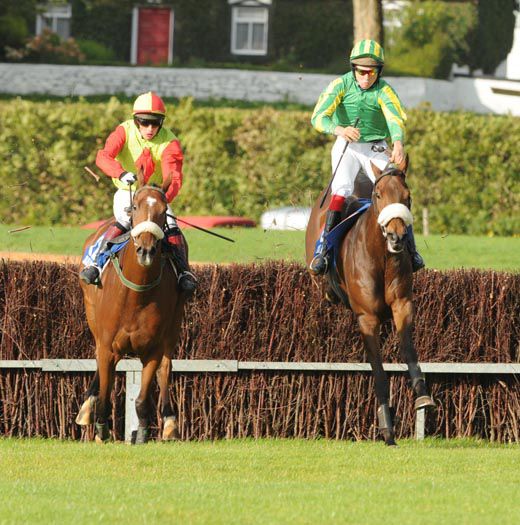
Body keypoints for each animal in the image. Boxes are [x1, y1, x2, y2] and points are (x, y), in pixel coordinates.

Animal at [75, 168, 185, 442]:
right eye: (134, 207)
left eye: (163, 210)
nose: (145, 250)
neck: (137, 294)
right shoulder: (108, 346)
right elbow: (105, 393)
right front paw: (100, 429)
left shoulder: (153, 349)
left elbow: (143, 398)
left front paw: (142, 433)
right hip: (92, 315)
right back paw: (87, 407)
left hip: (174, 324)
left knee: (166, 366)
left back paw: (169, 421)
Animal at [304, 158, 434, 444]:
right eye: (379, 195)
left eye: (407, 197)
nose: (397, 236)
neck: (381, 256)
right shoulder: (367, 318)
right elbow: (378, 369)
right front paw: (387, 427)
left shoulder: (403, 305)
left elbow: (408, 349)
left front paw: (422, 395)